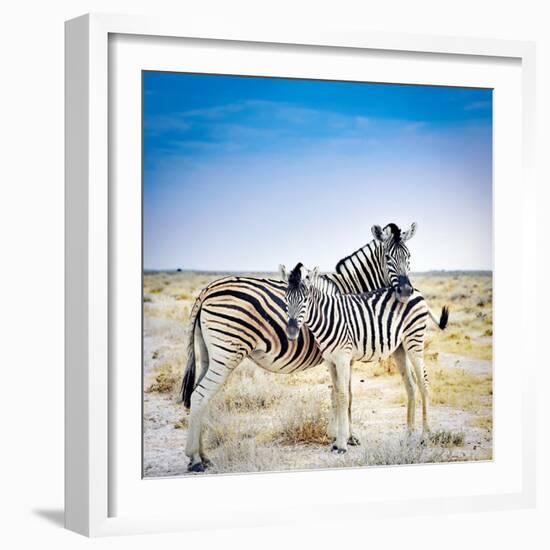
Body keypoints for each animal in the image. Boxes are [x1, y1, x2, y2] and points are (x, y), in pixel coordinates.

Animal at [181, 222, 418, 472]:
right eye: (388, 257)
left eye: (409, 256)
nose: (406, 292)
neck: (351, 291)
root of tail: (207, 289)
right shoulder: (346, 354)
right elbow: (347, 395)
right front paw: (347, 438)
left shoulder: (338, 354)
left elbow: (338, 393)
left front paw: (337, 437)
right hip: (227, 354)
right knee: (200, 396)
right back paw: (195, 459)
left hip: (209, 355)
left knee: (200, 396)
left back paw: (203, 456)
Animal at [282, 266, 450, 454]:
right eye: (286, 299)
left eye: (305, 300)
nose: (291, 332)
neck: (328, 317)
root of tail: (416, 291)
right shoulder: (330, 361)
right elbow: (335, 393)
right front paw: (337, 440)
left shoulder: (343, 358)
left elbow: (342, 396)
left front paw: (342, 443)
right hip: (399, 348)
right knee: (411, 386)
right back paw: (408, 436)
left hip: (415, 341)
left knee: (424, 384)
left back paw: (425, 437)